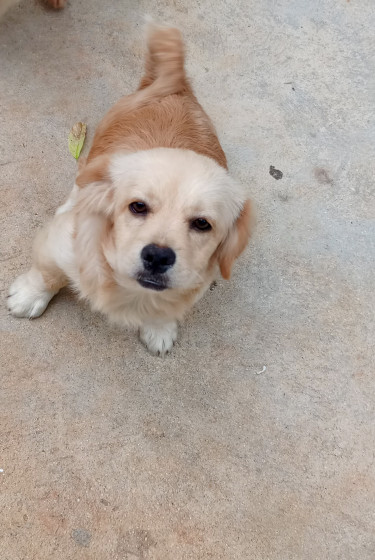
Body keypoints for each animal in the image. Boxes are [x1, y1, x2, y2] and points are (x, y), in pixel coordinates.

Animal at [7, 24, 253, 354]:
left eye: (202, 224)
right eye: (137, 206)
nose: (158, 257)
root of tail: (176, 88)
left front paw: (159, 327)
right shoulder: (57, 244)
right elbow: (47, 273)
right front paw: (29, 296)